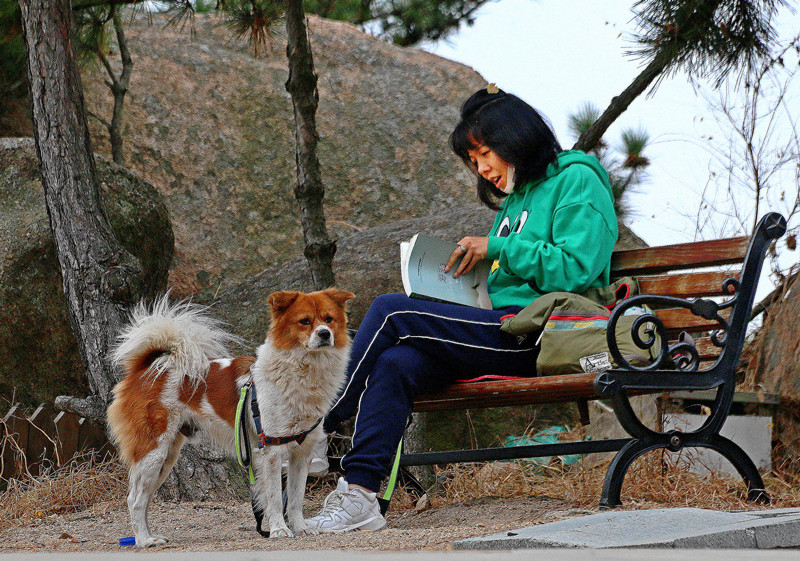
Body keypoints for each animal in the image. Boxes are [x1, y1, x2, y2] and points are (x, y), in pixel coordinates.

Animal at [107, 290, 354, 544]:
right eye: (305, 321)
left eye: (329, 319)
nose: (325, 334)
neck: (303, 371)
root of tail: (145, 369)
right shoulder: (272, 451)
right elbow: (275, 498)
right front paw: (279, 529)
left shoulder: (301, 454)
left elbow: (296, 498)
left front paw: (300, 527)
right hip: (152, 452)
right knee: (134, 500)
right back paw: (144, 540)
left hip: (166, 457)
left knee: (144, 498)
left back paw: (148, 535)